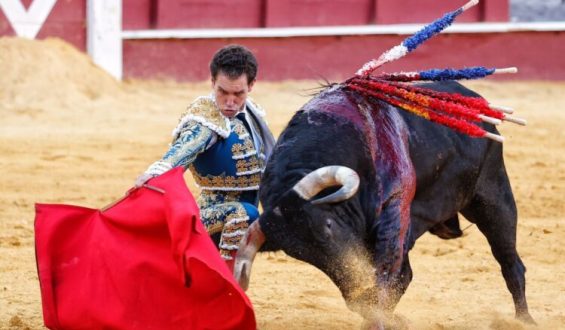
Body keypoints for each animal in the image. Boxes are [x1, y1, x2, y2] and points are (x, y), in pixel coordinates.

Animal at [234, 80, 532, 324]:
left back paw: (523, 320)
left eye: (329, 225)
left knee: (510, 262)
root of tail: (473, 98)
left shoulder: (393, 211)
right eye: (301, 254)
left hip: (493, 195)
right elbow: (373, 293)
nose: (358, 284)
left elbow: (387, 280)